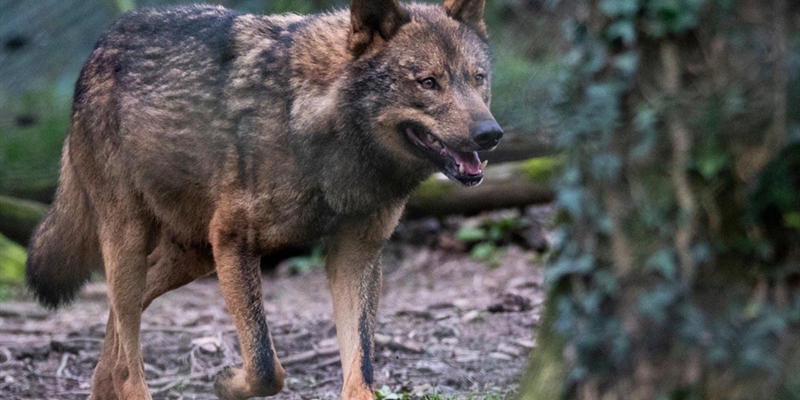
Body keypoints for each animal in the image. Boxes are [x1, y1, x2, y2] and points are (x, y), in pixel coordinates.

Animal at [25, 0, 502, 398]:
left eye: (478, 79)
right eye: (429, 82)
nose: (491, 134)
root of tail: (101, 43)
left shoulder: (356, 254)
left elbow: (360, 371)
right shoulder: (234, 241)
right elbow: (265, 366)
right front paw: (227, 380)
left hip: (192, 256)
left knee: (119, 330)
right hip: (133, 241)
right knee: (129, 361)